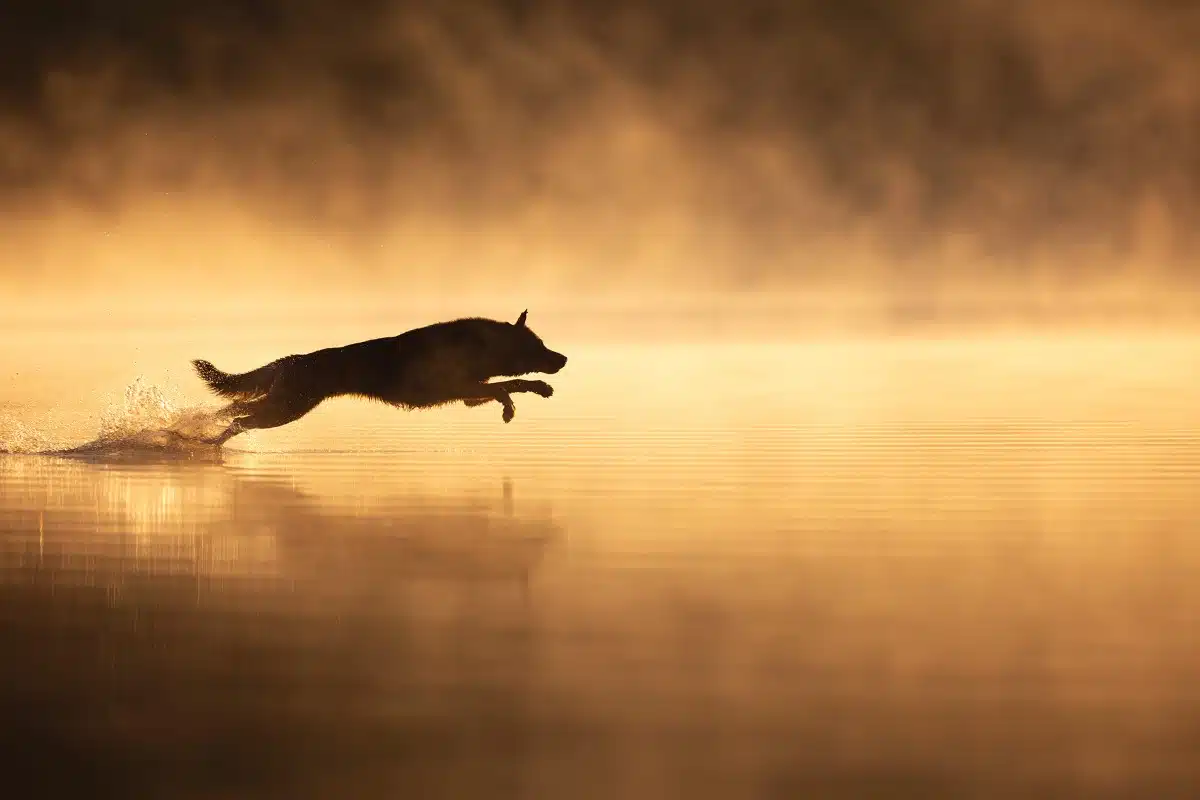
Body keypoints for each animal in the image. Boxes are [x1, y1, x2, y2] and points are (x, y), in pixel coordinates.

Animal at [194, 311, 568, 448]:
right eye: (538, 346)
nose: (563, 359)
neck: (478, 346)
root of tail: (292, 360)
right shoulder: (461, 387)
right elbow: (508, 386)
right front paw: (520, 402)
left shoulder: (468, 394)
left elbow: (507, 386)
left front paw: (522, 399)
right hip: (286, 410)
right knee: (239, 419)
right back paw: (207, 442)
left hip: (282, 405)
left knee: (231, 409)